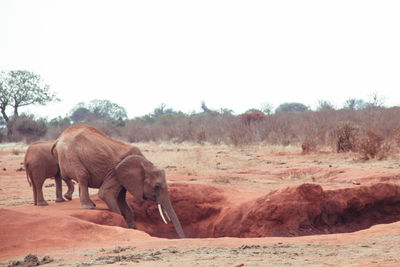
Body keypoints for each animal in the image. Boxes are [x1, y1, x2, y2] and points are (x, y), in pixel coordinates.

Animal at [52, 124, 186, 240]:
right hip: (72, 157)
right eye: (157, 186)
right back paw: (88, 207)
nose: (182, 238)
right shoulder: (115, 172)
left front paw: (133, 228)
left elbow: (122, 201)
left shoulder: (123, 179)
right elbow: (106, 194)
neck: (146, 163)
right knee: (83, 176)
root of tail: (58, 139)